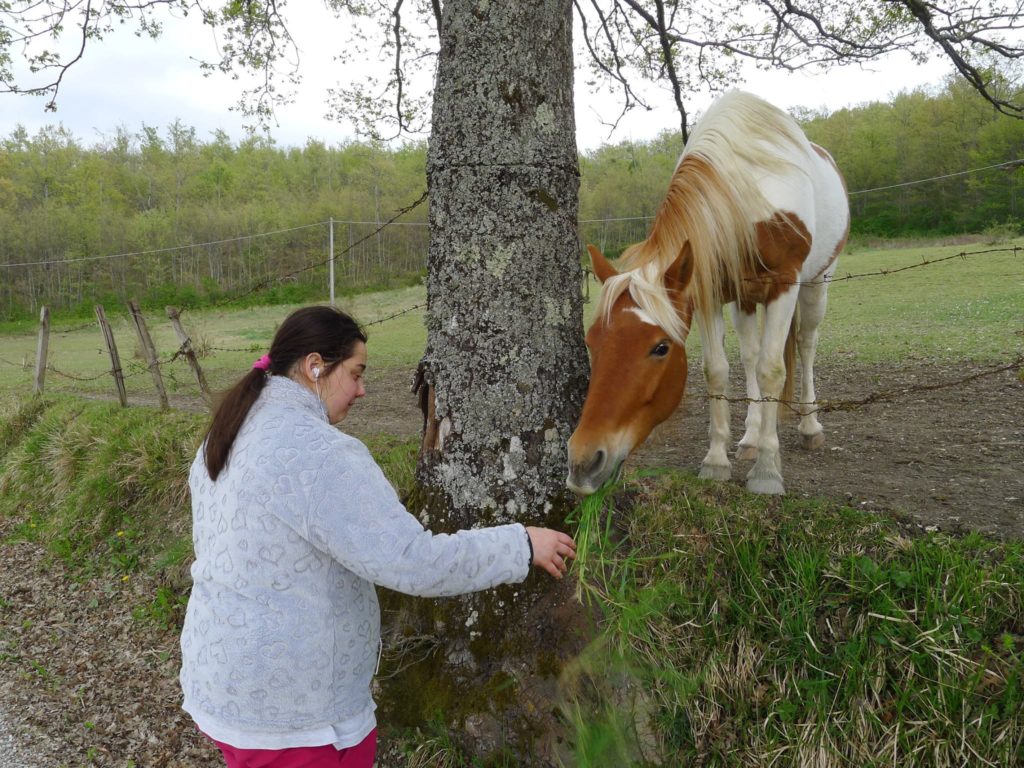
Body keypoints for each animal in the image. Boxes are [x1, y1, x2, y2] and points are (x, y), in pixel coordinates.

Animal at [569, 90, 847, 499]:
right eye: (591, 341)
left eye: (660, 347)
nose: (583, 462)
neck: (746, 197)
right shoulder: (707, 292)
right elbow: (717, 370)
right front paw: (717, 461)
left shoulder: (785, 284)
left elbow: (772, 370)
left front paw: (768, 470)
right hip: (744, 300)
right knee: (750, 356)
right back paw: (750, 437)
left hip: (817, 283)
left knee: (806, 345)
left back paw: (809, 427)